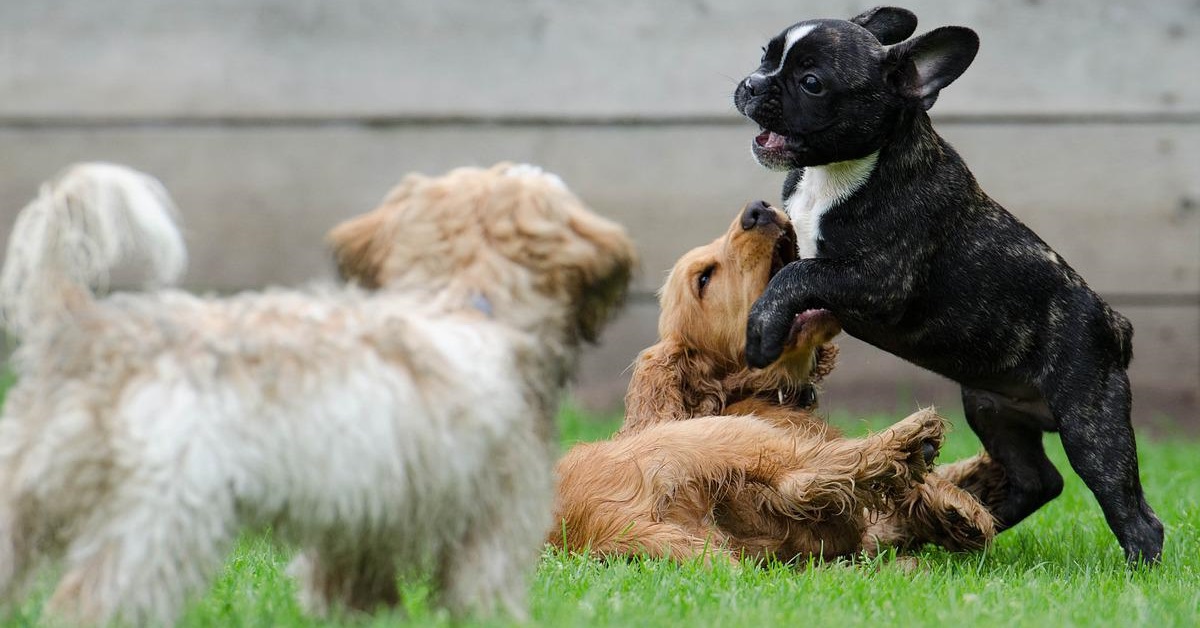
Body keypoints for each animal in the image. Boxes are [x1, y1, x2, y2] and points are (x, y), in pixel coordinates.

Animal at [0, 160, 638, 624]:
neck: (463, 299)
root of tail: (85, 326)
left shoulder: (357, 530)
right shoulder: (493, 522)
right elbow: (482, 596)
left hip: (21, 503)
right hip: (159, 521)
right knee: (90, 603)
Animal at [549, 202, 1003, 564]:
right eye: (703, 279)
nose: (758, 210)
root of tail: (602, 524)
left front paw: (976, 478)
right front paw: (956, 500)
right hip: (725, 437)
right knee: (806, 476)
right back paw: (912, 441)